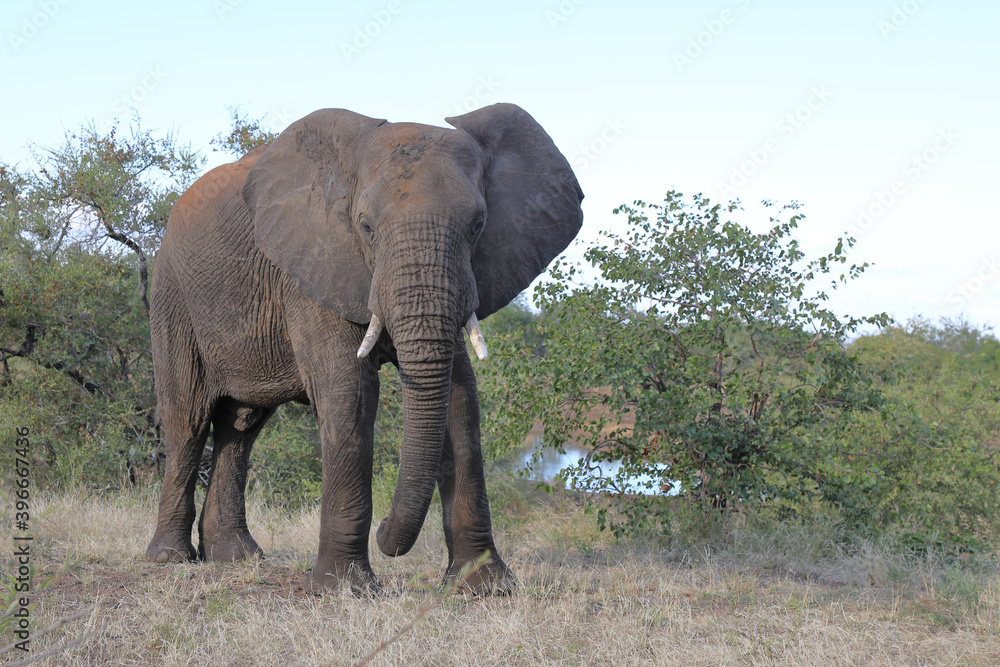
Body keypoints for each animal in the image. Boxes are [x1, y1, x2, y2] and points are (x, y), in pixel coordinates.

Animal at [144, 103, 584, 595]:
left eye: (478, 225)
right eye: (366, 227)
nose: (385, 535)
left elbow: (460, 395)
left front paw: (485, 588)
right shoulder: (312, 263)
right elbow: (349, 391)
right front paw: (344, 589)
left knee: (240, 427)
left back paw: (236, 558)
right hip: (173, 297)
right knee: (187, 420)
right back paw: (169, 559)